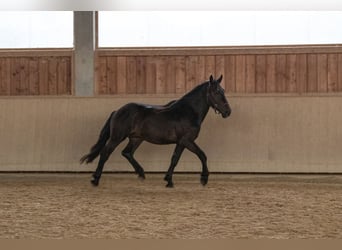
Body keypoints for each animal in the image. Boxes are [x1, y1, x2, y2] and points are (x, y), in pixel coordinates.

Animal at [80, 74, 231, 188]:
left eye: (223, 91)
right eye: (217, 92)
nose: (228, 112)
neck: (188, 112)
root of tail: (117, 111)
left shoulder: (181, 142)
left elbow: (175, 159)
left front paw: (168, 180)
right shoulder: (187, 140)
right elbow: (202, 155)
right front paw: (204, 178)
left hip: (136, 138)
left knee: (127, 153)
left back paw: (141, 173)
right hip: (117, 137)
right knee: (105, 153)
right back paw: (95, 179)